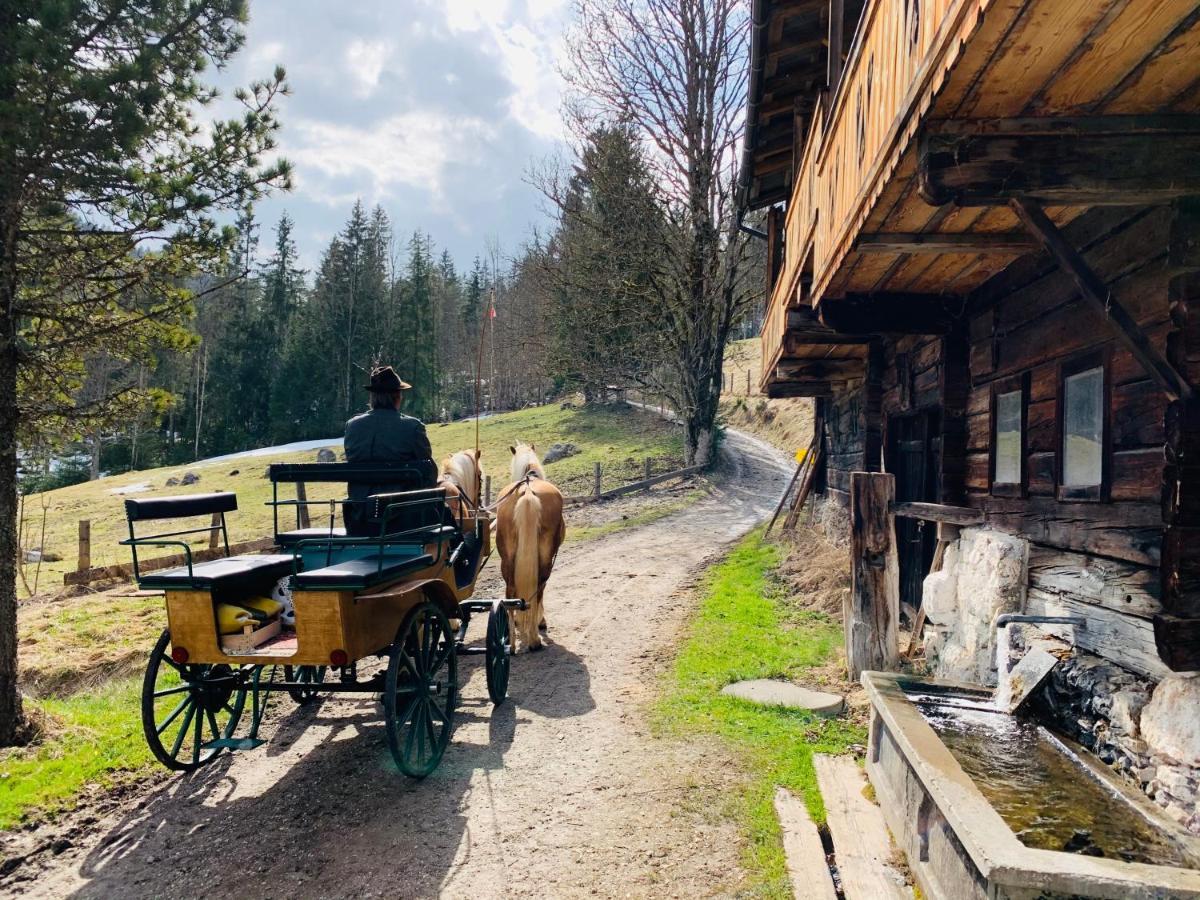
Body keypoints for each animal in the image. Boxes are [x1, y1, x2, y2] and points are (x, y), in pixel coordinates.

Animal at [499, 446, 568, 652]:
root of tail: (528, 490)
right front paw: (540, 621)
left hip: (507, 558)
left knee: (510, 591)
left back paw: (512, 643)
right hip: (546, 557)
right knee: (539, 586)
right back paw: (535, 639)